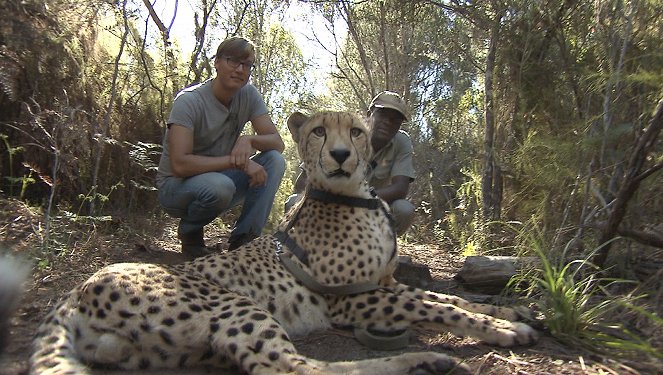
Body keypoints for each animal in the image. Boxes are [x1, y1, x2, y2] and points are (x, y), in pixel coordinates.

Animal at [32, 111, 540, 375]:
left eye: (356, 131)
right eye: (319, 131)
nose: (340, 155)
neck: (356, 196)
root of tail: (77, 288)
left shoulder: (384, 284)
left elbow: (444, 297)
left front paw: (511, 311)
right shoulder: (349, 300)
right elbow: (435, 306)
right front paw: (503, 329)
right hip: (233, 304)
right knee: (297, 368)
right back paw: (424, 359)